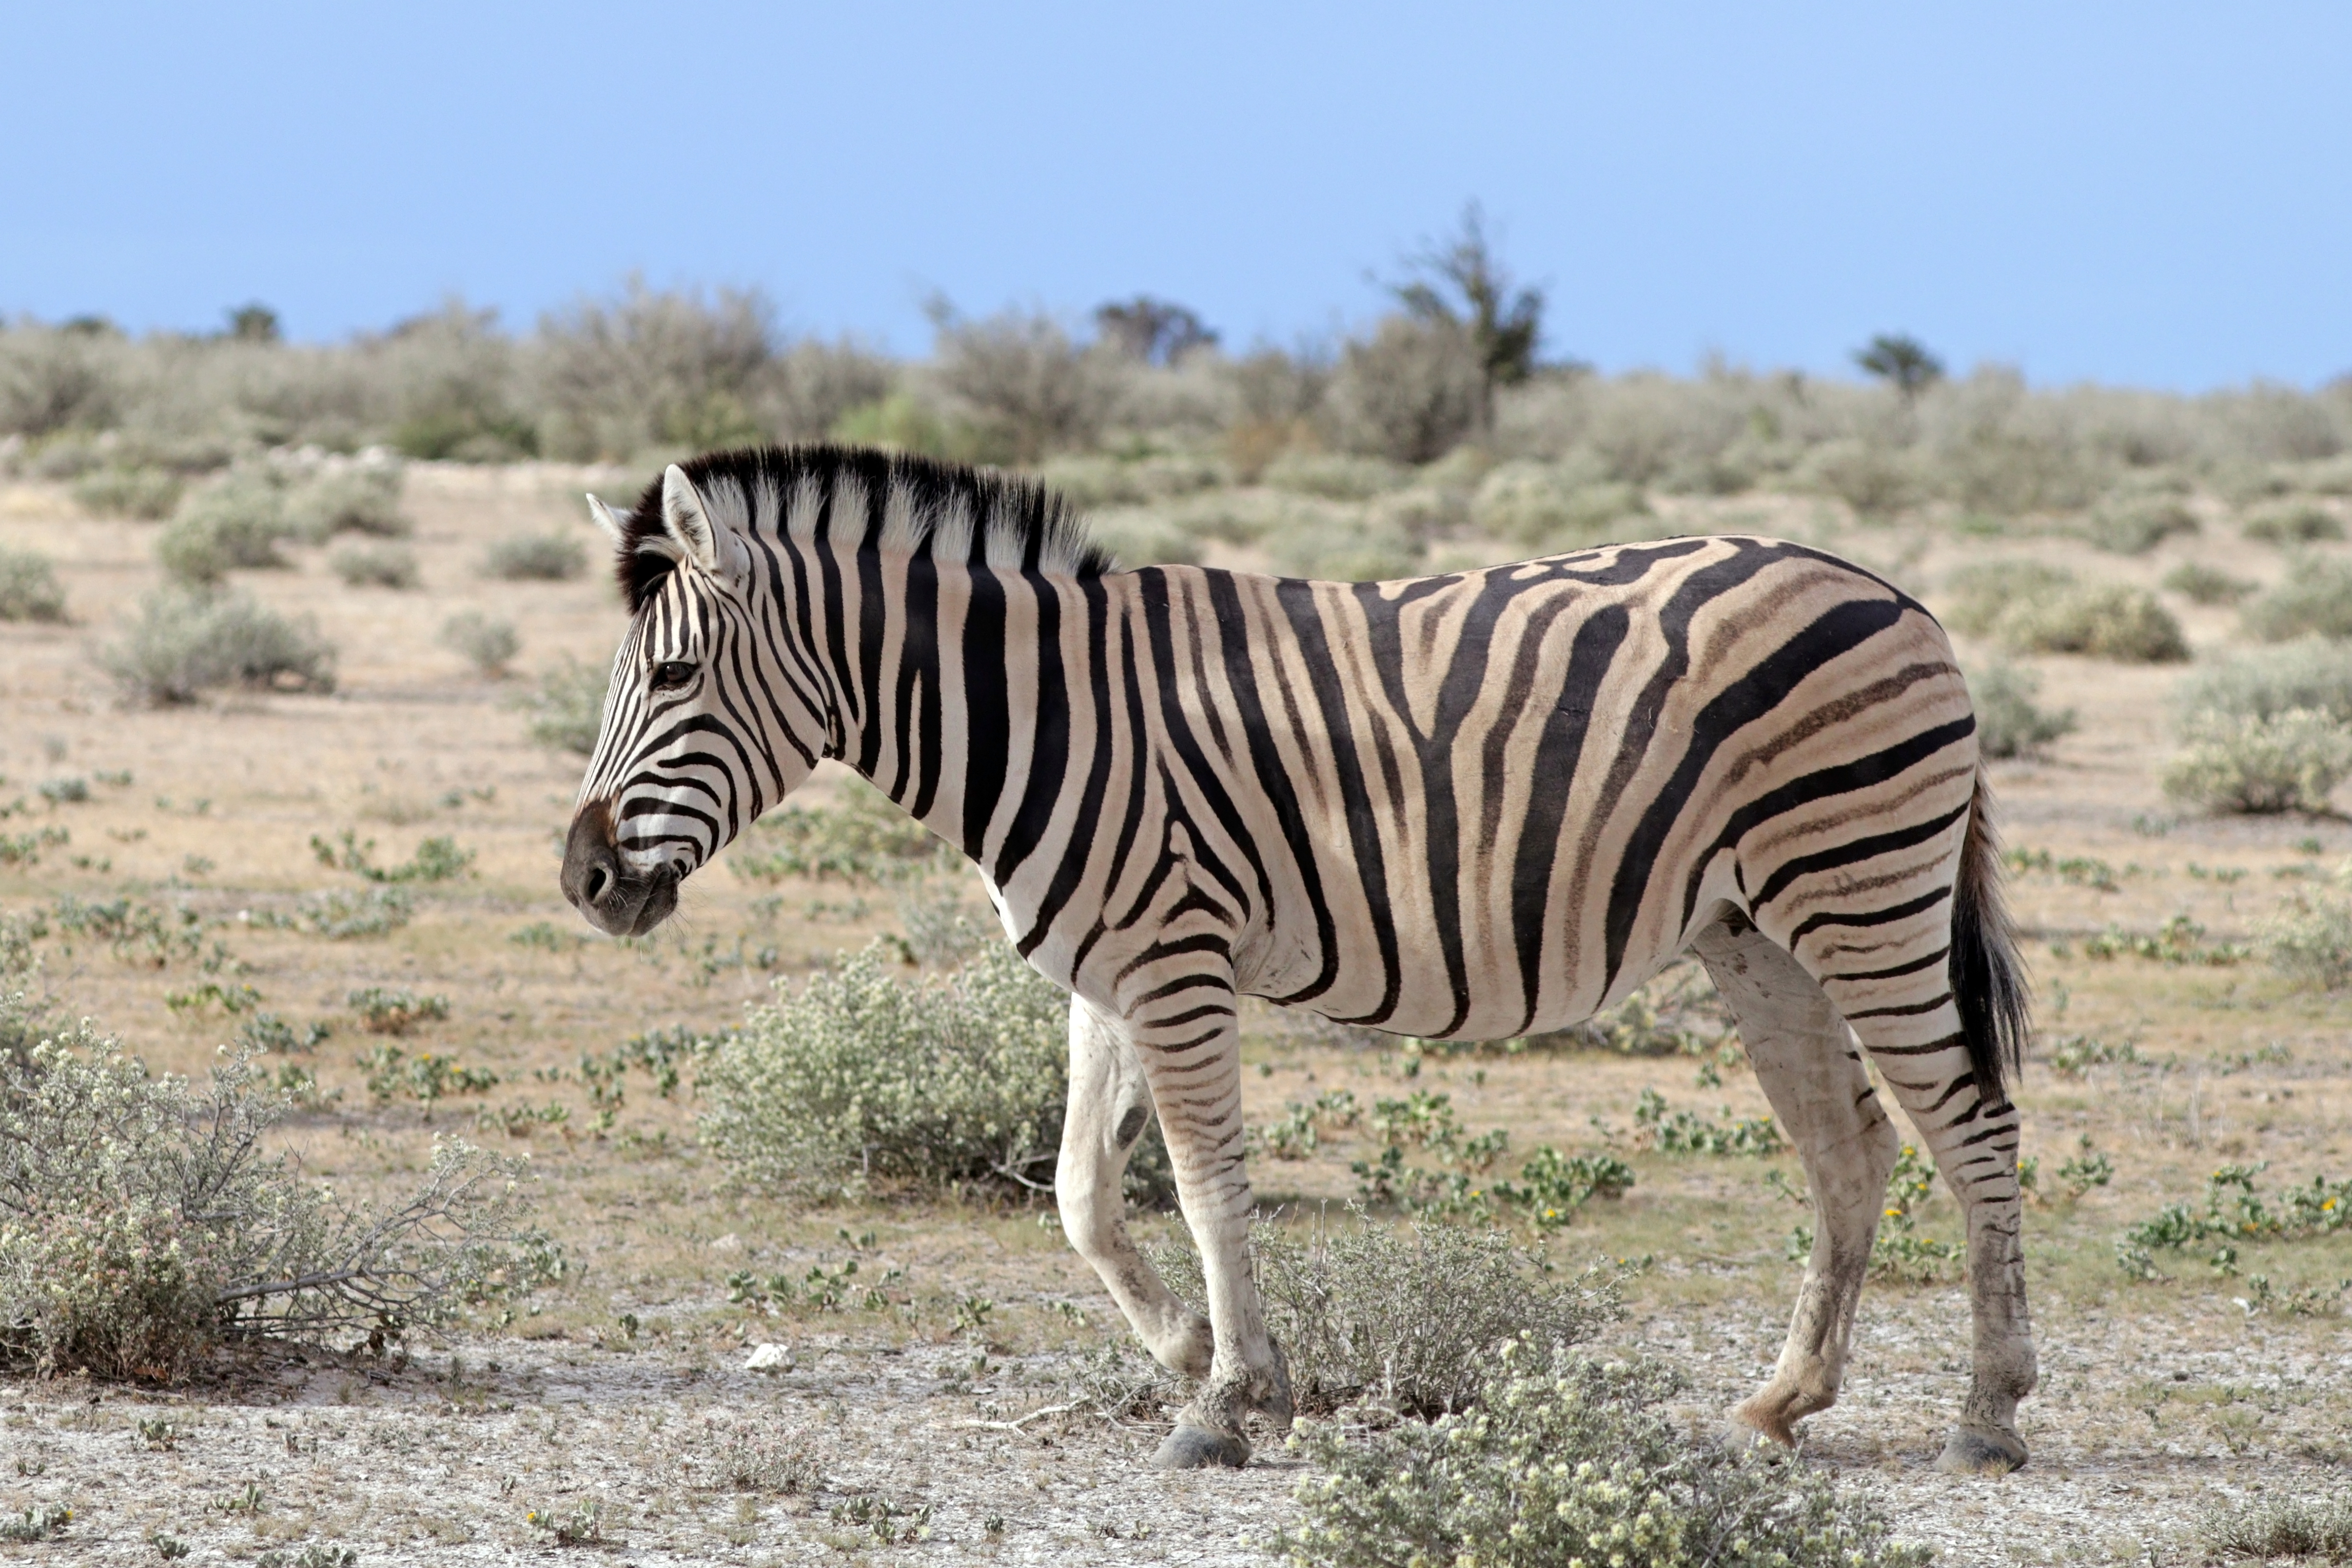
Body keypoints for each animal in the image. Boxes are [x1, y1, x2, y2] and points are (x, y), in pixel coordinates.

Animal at [561, 444, 2036, 1475]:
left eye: (676, 677)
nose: (583, 881)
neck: (1049, 716)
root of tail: (1898, 594)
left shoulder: (1176, 959)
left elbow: (1209, 1187)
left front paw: (1228, 1402)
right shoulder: (1103, 970)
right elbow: (1082, 1192)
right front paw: (1187, 1347)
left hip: (1862, 894)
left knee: (1973, 1131)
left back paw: (1988, 1418)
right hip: (1755, 934)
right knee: (1851, 1149)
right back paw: (1783, 1403)